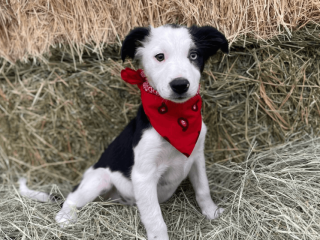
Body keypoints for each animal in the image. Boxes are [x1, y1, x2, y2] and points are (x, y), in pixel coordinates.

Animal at [20, 23, 229, 238]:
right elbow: (155, 219)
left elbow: (203, 189)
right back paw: (66, 217)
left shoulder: (197, 158)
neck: (176, 119)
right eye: (159, 56)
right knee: (70, 199)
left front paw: (212, 213)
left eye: (193, 55)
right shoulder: (143, 175)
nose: (180, 85)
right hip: (98, 179)